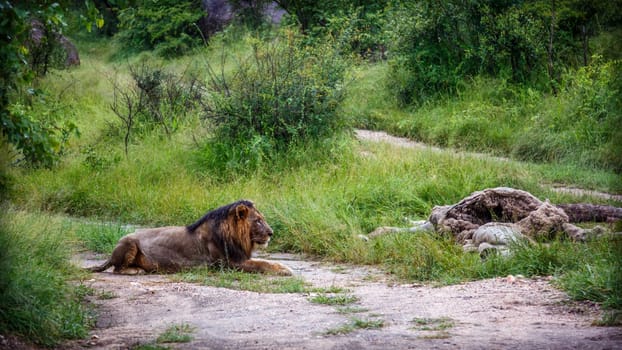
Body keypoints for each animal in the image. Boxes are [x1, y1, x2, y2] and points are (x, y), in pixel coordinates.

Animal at [85, 200, 294, 276]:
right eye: (258, 221)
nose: (271, 233)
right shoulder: (228, 263)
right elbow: (262, 264)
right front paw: (284, 269)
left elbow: (262, 262)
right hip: (129, 243)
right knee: (117, 269)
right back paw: (135, 271)